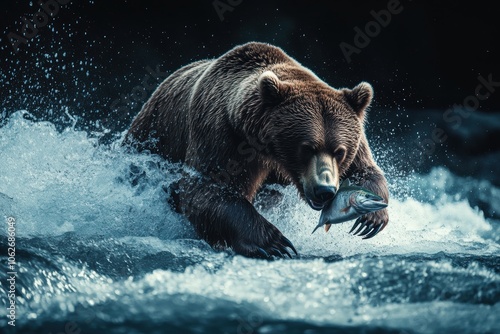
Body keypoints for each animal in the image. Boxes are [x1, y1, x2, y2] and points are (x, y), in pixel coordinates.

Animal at [123, 40, 388, 258]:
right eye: (306, 148)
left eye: (339, 151)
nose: (325, 190)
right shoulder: (220, 135)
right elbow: (206, 187)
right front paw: (275, 244)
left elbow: (366, 169)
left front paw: (371, 218)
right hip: (150, 138)